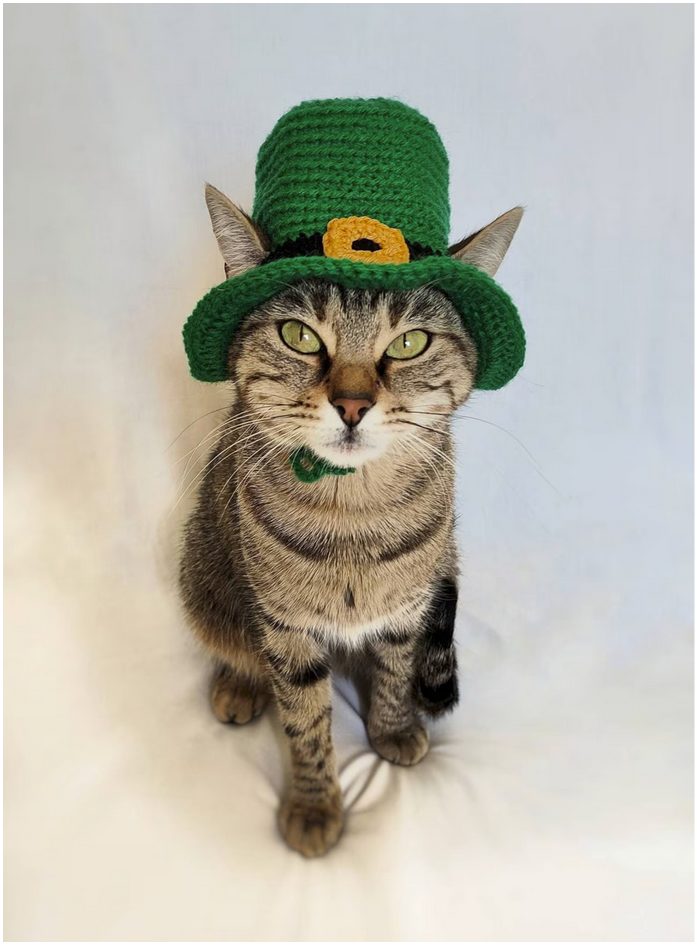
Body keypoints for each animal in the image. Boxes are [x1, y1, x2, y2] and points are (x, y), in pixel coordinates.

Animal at [179, 184, 520, 856]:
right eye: (299, 336)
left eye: (410, 343)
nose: (354, 404)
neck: (354, 514)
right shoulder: (285, 629)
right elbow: (306, 724)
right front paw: (315, 805)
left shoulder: (407, 609)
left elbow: (394, 672)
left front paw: (393, 730)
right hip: (204, 579)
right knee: (235, 643)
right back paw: (240, 683)